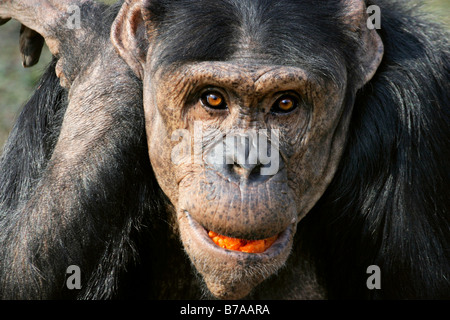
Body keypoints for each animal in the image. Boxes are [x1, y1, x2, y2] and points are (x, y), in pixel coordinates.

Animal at [0, 0, 448, 298]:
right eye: (212, 99)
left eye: (285, 103)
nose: (247, 164)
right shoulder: (51, 108)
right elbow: (17, 270)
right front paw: (99, 52)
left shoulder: (415, 106)